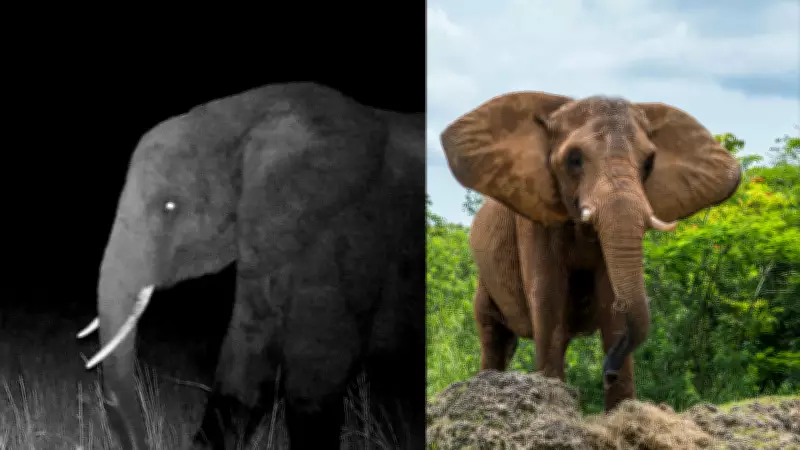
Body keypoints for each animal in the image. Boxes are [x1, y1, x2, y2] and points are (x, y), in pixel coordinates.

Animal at [76, 82, 425, 450]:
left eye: (169, 207)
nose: (143, 439)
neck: (247, 115)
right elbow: (246, 357)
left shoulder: (347, 235)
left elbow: (319, 370)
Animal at [439, 91, 741, 412]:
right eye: (574, 159)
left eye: (649, 162)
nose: (608, 372)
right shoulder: (535, 221)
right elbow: (548, 303)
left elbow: (612, 305)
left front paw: (621, 410)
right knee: (494, 336)